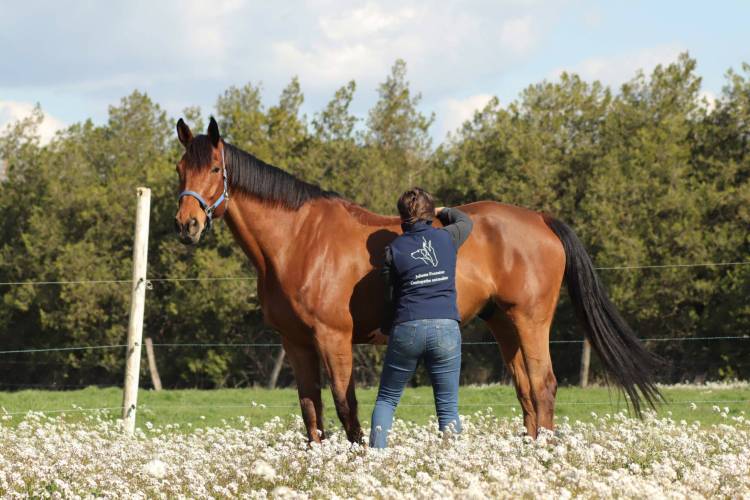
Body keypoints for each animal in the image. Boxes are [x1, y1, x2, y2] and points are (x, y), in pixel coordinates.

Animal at [173, 117, 660, 442]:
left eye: (214, 169)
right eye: (179, 169)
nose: (187, 225)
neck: (299, 240)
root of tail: (540, 218)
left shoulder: (333, 338)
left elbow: (346, 407)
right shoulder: (295, 344)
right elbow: (311, 410)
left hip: (530, 320)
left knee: (543, 386)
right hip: (503, 322)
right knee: (525, 390)